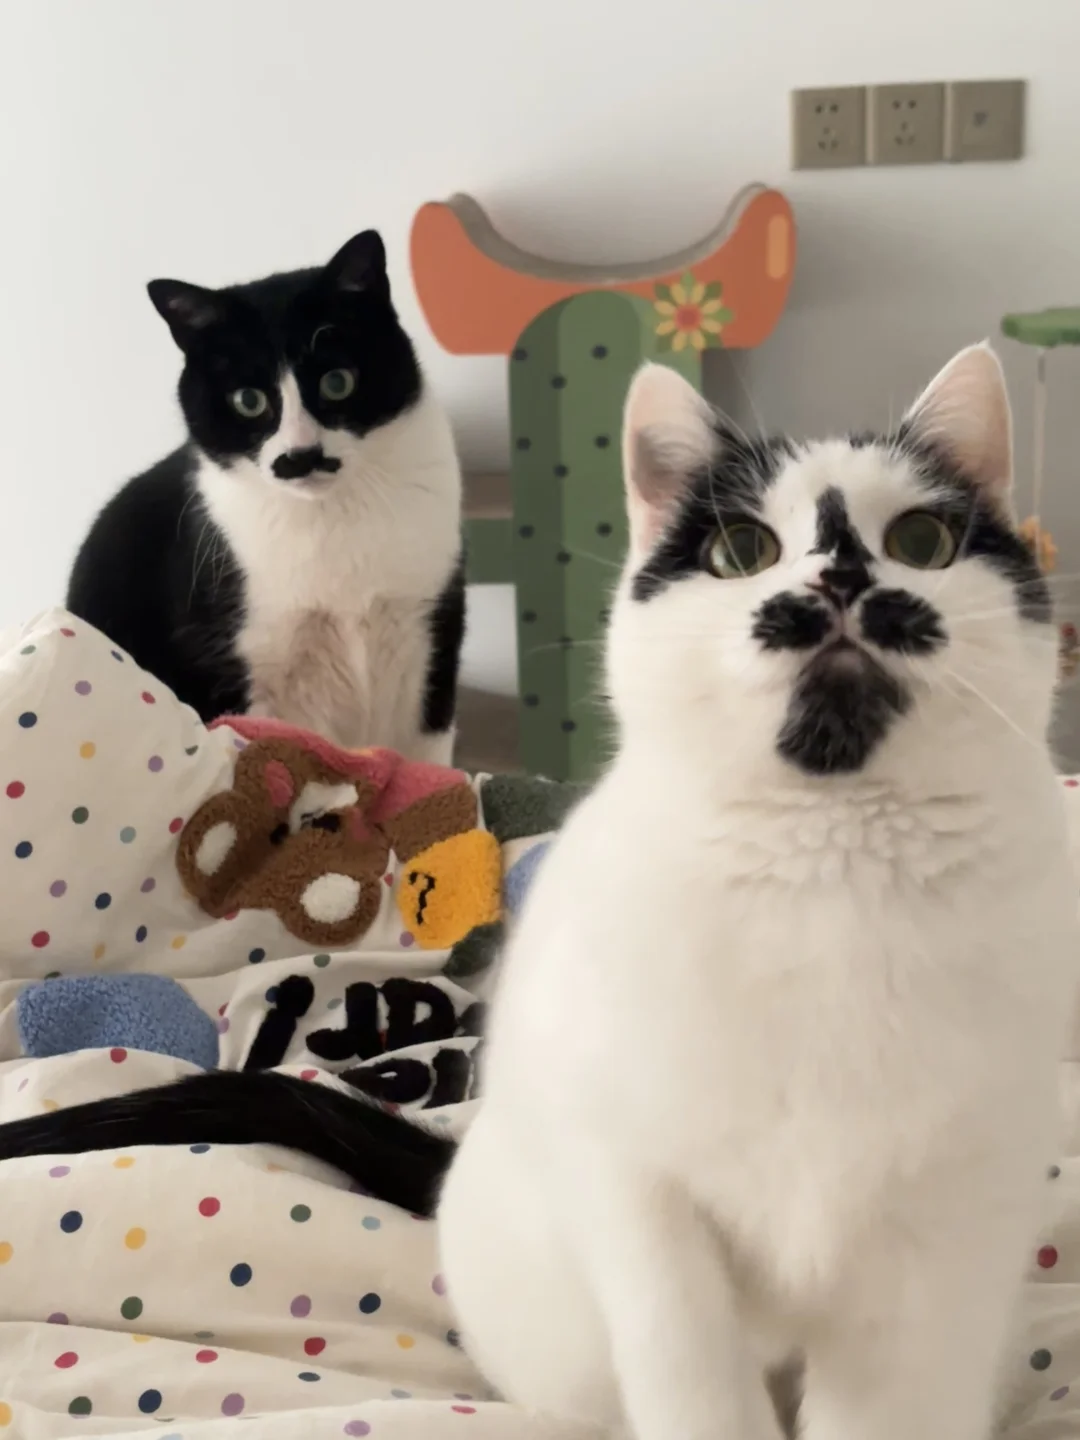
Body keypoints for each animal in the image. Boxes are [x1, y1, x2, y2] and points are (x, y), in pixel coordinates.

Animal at [7, 345, 1076, 1440]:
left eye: (919, 540)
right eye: (742, 549)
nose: (840, 579)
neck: (829, 864)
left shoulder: (941, 1237)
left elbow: (895, 1402)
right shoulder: (638, 1198)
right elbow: (694, 1384)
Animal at [67, 231, 464, 763]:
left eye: (337, 382)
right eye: (248, 401)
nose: (301, 456)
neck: (331, 514)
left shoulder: (431, 625)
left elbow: (428, 752)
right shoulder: (237, 657)